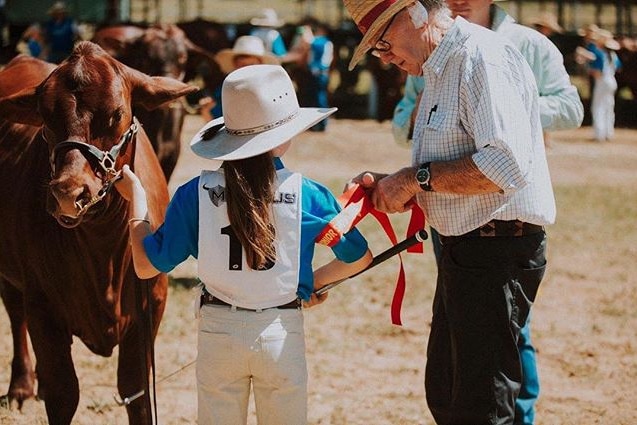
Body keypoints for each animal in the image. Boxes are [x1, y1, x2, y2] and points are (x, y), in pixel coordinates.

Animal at [0, 41, 196, 422]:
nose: (68, 191)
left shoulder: (151, 306)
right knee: (15, 313)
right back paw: (22, 386)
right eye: (45, 118)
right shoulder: (42, 305)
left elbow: (136, 390)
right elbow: (63, 393)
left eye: (116, 114)